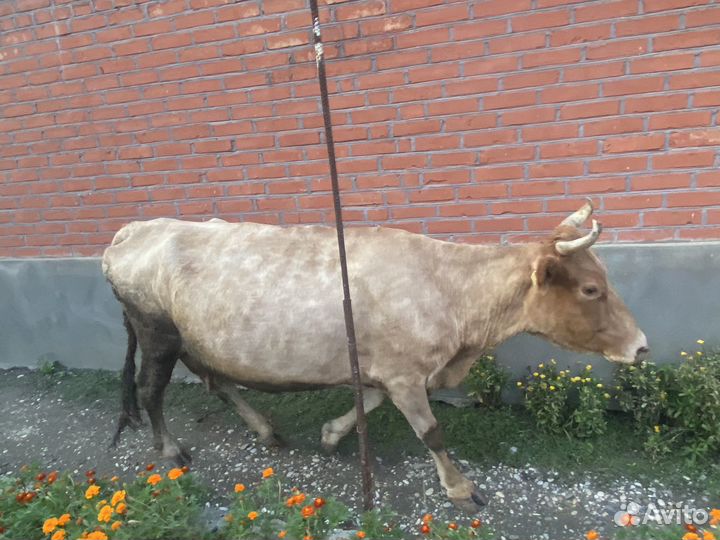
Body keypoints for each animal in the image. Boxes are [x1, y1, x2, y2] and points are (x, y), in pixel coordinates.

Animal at [103, 200, 648, 512]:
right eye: (592, 288)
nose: (641, 345)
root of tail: (130, 232)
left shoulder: (389, 368)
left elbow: (369, 401)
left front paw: (331, 434)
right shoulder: (405, 373)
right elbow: (432, 432)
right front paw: (461, 489)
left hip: (195, 338)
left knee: (218, 381)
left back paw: (265, 429)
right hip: (156, 331)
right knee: (151, 390)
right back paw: (171, 450)